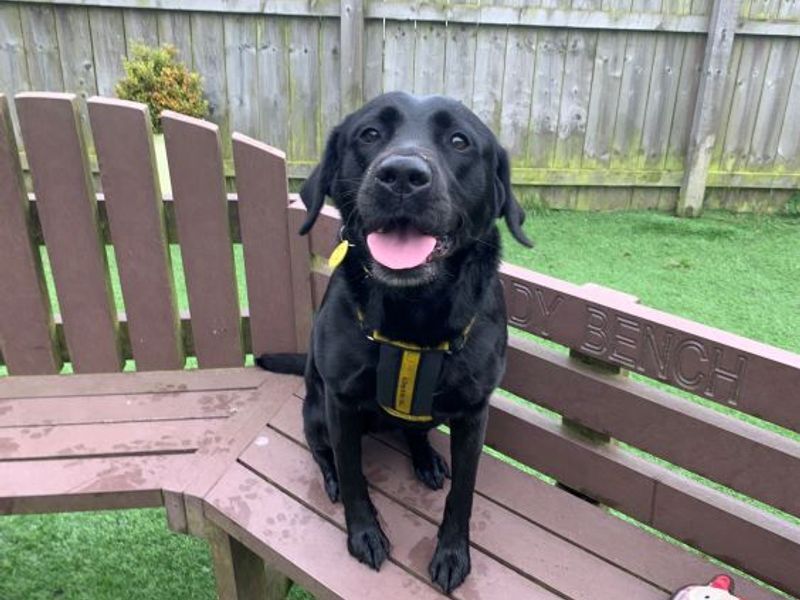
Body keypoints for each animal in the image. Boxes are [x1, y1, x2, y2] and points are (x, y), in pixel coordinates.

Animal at [258, 91, 532, 593]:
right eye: (369, 134)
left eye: (459, 141)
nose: (402, 174)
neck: (415, 312)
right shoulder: (341, 403)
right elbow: (353, 477)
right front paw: (364, 534)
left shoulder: (473, 413)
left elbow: (463, 495)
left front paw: (452, 554)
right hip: (316, 410)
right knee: (321, 449)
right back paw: (330, 476)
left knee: (414, 430)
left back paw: (425, 460)